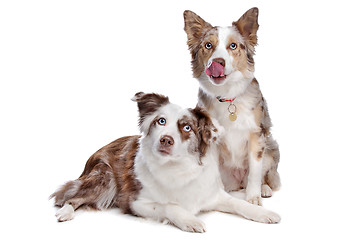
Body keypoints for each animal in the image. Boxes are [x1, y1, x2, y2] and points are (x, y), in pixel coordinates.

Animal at [51, 92, 282, 232]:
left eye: (187, 127)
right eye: (160, 121)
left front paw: (264, 213)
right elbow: (169, 206)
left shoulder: (214, 195)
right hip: (104, 180)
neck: (177, 167)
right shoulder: (134, 202)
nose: (166, 140)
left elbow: (240, 204)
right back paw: (64, 212)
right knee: (71, 197)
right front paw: (190, 220)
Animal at [184, 8, 280, 205]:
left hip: (271, 148)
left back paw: (264, 189)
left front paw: (253, 198)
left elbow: (255, 171)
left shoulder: (256, 135)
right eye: (208, 45)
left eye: (233, 46)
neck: (228, 98)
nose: (217, 63)